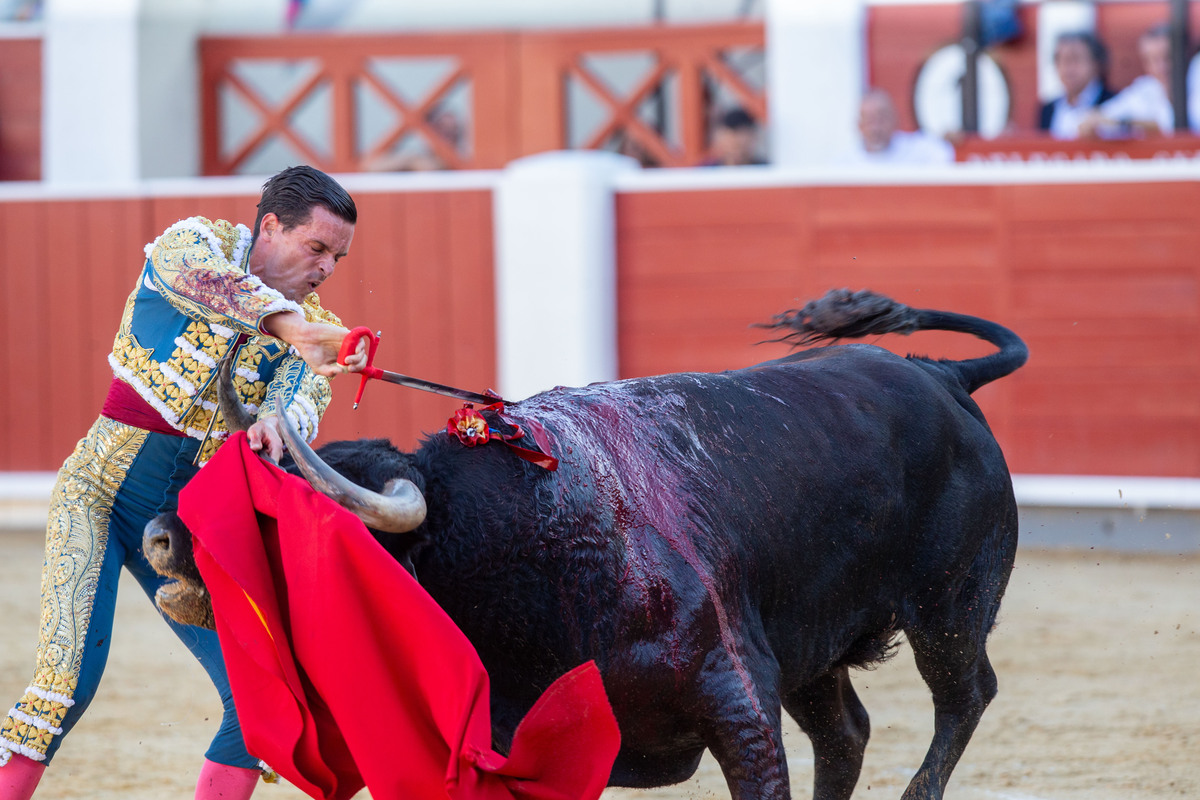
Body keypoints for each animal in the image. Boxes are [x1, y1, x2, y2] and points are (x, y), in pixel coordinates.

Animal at [145, 292, 1032, 800]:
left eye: (287, 516)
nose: (158, 536)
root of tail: (941, 378)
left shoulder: (737, 697)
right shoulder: (528, 746)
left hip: (948, 609)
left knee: (964, 697)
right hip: (815, 646)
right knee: (845, 735)